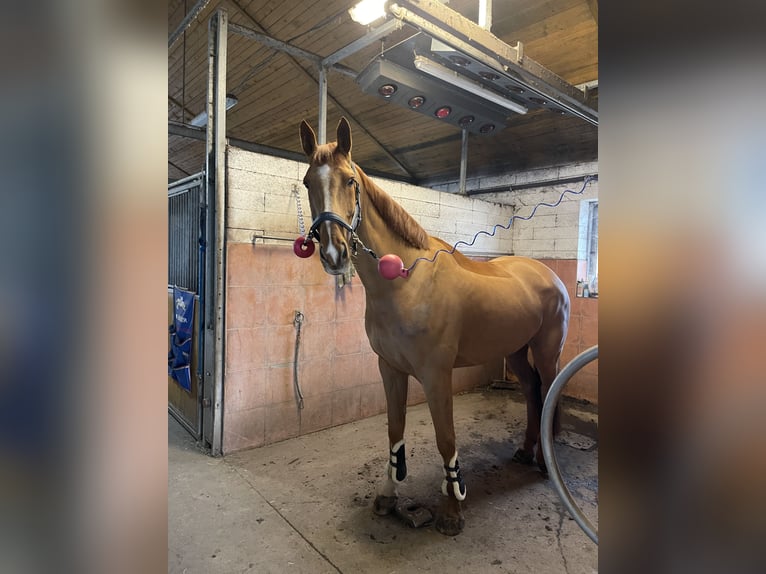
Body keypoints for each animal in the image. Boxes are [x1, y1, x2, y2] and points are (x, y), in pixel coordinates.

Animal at [298, 119, 568, 536]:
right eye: (309, 181)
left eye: (349, 180)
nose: (333, 253)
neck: (406, 282)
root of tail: (549, 275)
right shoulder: (390, 369)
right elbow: (394, 431)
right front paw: (387, 496)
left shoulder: (436, 375)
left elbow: (446, 439)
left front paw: (452, 512)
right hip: (514, 352)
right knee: (533, 390)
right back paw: (525, 451)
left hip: (546, 350)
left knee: (550, 390)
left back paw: (544, 461)